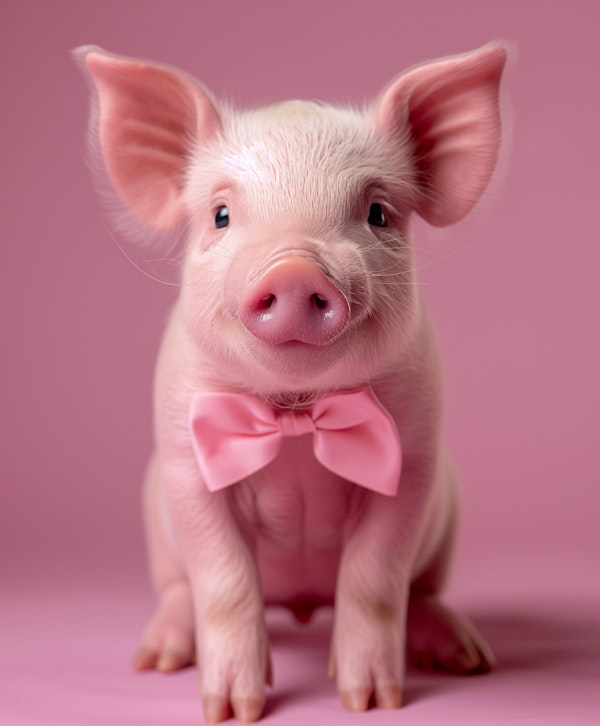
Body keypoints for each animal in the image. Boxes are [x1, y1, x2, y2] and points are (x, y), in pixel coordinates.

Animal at [75, 44, 506, 724]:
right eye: (222, 215)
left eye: (378, 213)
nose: (297, 268)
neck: (297, 413)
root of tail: (302, 603)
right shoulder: (185, 462)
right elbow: (222, 580)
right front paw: (233, 710)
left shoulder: (413, 461)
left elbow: (375, 578)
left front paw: (370, 700)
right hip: (153, 513)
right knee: (179, 589)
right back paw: (159, 657)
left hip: (450, 511)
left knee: (422, 590)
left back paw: (466, 656)